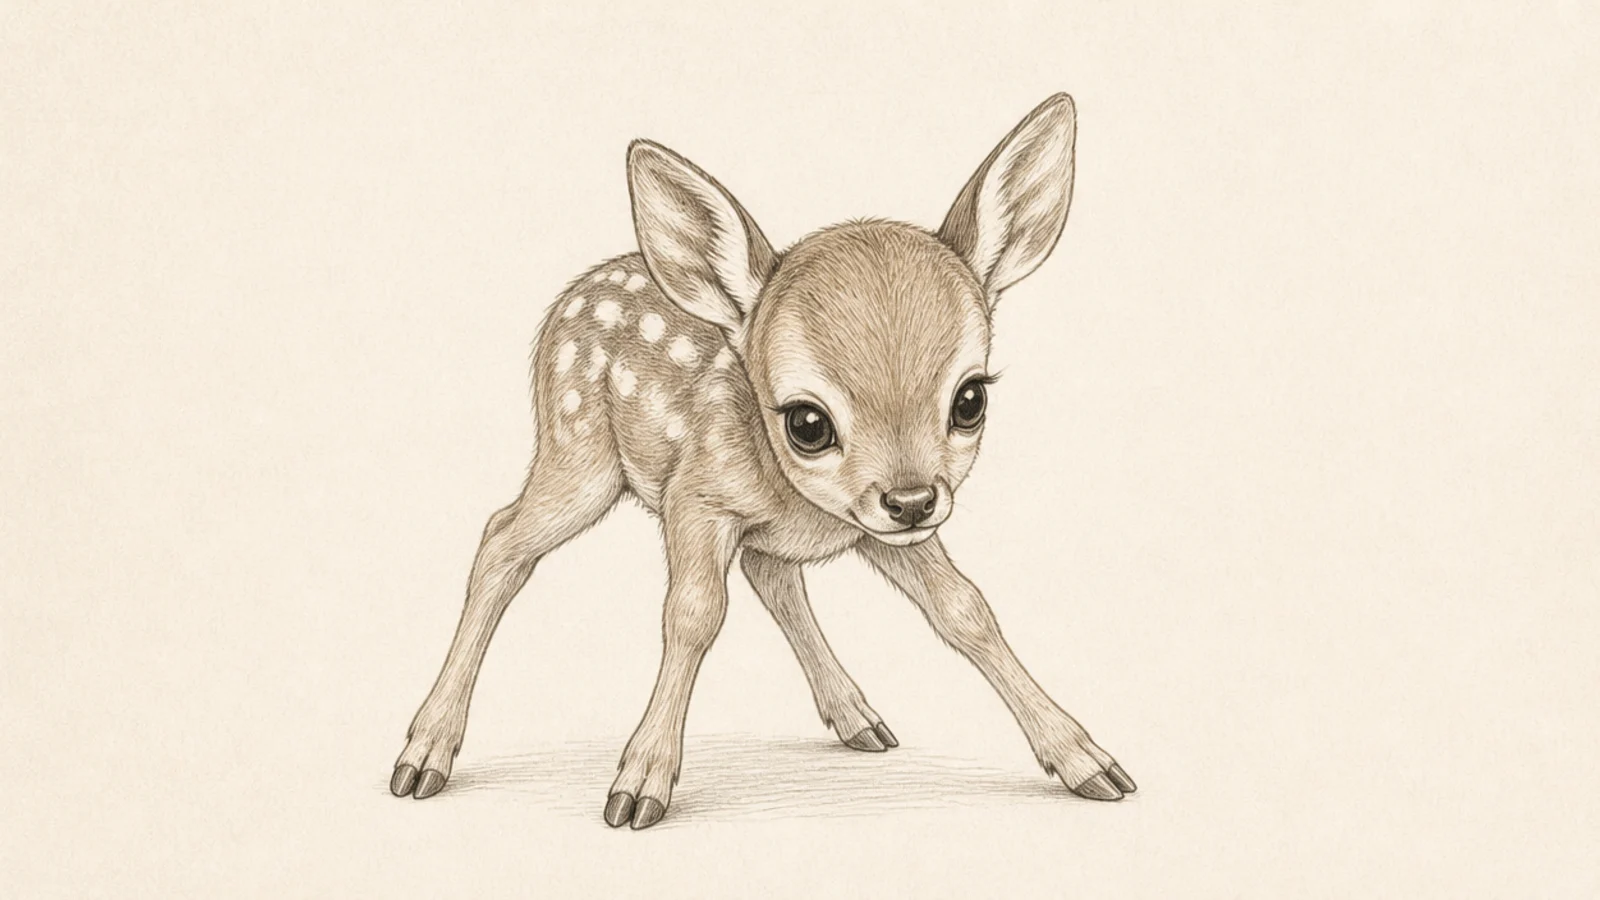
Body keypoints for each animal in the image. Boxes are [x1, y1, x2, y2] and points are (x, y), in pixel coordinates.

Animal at [388, 93, 1136, 830]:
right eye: (807, 423)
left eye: (970, 399)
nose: (912, 501)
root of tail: (573, 294)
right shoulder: (695, 497)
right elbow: (693, 613)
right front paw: (639, 785)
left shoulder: (876, 529)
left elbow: (965, 608)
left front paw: (1087, 762)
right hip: (578, 451)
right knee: (502, 539)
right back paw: (423, 755)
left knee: (770, 575)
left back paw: (858, 718)